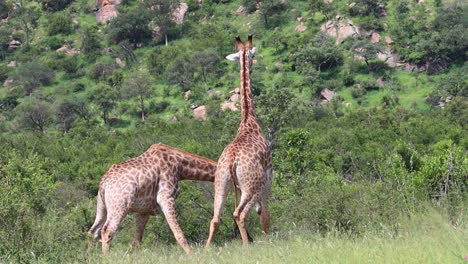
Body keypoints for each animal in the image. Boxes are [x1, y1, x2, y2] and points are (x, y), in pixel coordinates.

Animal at [88, 143, 218, 255]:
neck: (180, 167)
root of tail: (104, 183)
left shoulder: (144, 210)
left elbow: (137, 241)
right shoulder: (166, 197)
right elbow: (178, 233)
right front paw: (192, 256)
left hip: (102, 205)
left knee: (93, 231)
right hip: (120, 204)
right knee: (107, 231)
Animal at [207, 35, 272, 248]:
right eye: (253, 55)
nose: (252, 65)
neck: (248, 119)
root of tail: (231, 160)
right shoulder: (269, 176)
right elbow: (264, 213)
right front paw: (269, 240)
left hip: (222, 183)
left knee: (215, 218)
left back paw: (206, 249)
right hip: (252, 185)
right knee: (239, 214)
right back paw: (247, 246)